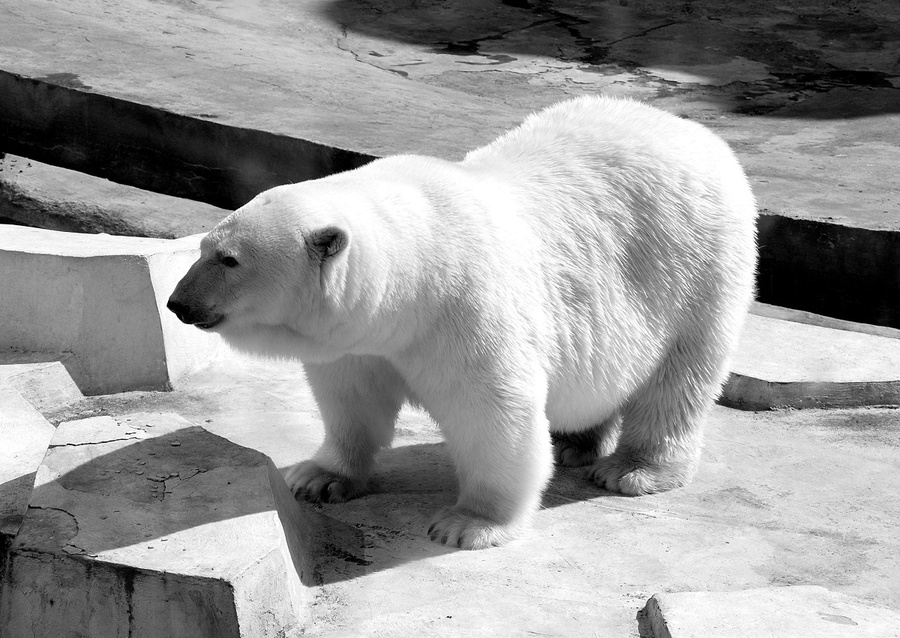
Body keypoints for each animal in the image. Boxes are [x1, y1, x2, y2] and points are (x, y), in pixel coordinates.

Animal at [169, 95, 760, 552]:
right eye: (203, 246)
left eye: (229, 259)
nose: (177, 303)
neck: (415, 272)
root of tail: (699, 134)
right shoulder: (359, 342)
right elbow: (351, 401)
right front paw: (318, 477)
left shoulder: (462, 309)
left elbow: (493, 413)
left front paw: (469, 524)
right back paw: (574, 442)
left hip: (696, 267)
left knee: (676, 380)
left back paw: (632, 469)